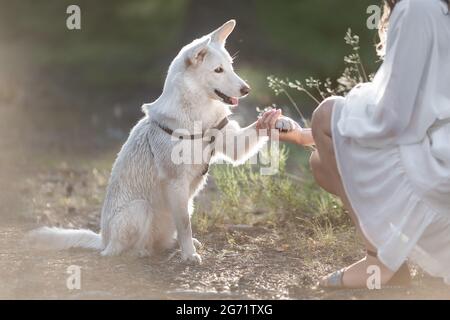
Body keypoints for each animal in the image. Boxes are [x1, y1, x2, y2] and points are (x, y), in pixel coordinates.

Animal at [29, 19, 296, 262]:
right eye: (218, 70)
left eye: (230, 66)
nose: (247, 89)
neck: (197, 114)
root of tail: (102, 238)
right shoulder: (176, 183)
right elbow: (185, 225)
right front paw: (189, 255)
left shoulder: (232, 145)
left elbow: (256, 130)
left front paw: (280, 121)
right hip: (139, 209)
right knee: (118, 252)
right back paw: (142, 252)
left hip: (184, 205)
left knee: (165, 237)